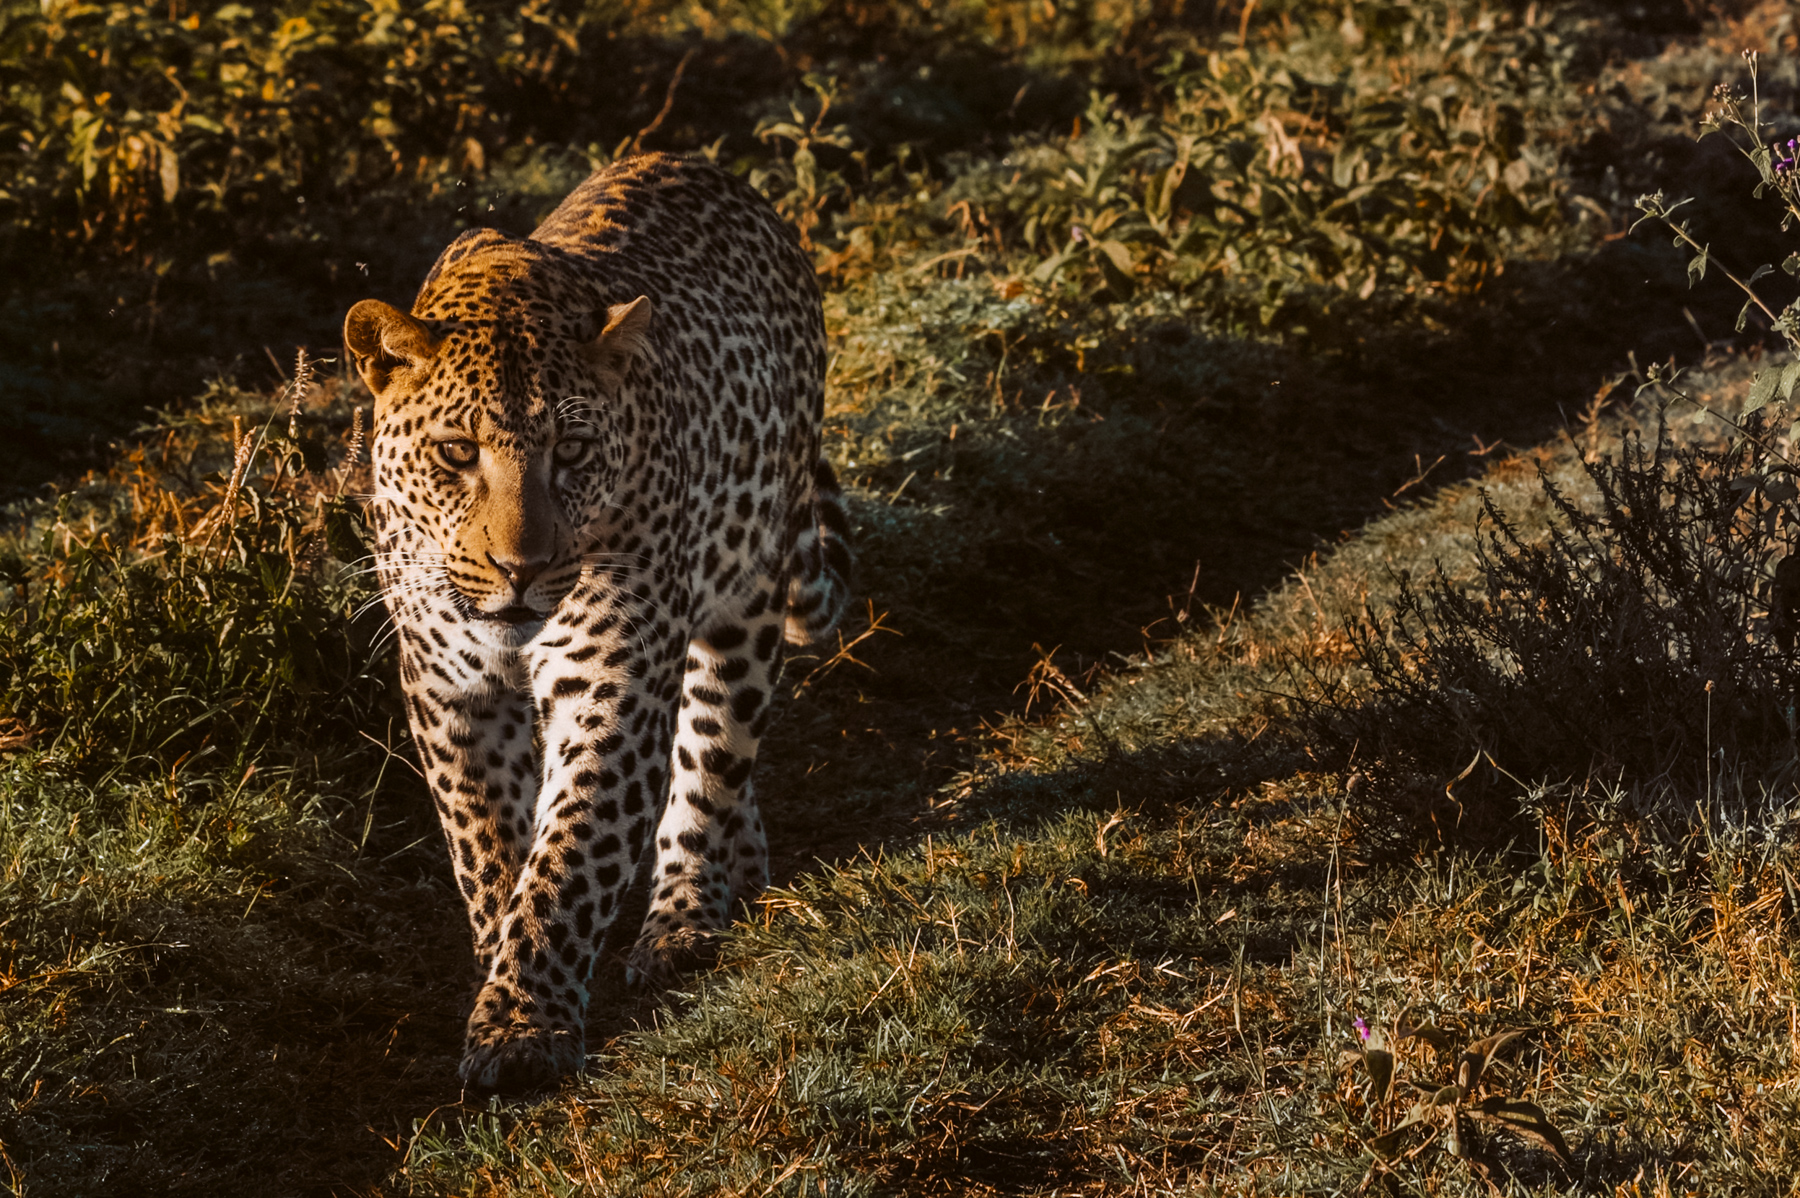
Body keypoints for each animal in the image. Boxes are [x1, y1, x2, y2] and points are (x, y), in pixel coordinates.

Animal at [342, 153, 851, 1096]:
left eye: (572, 453)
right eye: (457, 454)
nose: (521, 568)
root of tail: (708, 166)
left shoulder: (611, 683)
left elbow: (571, 858)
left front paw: (522, 1027)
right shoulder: (450, 692)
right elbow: (490, 847)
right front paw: (500, 964)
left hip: (742, 605)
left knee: (712, 758)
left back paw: (686, 915)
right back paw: (743, 871)